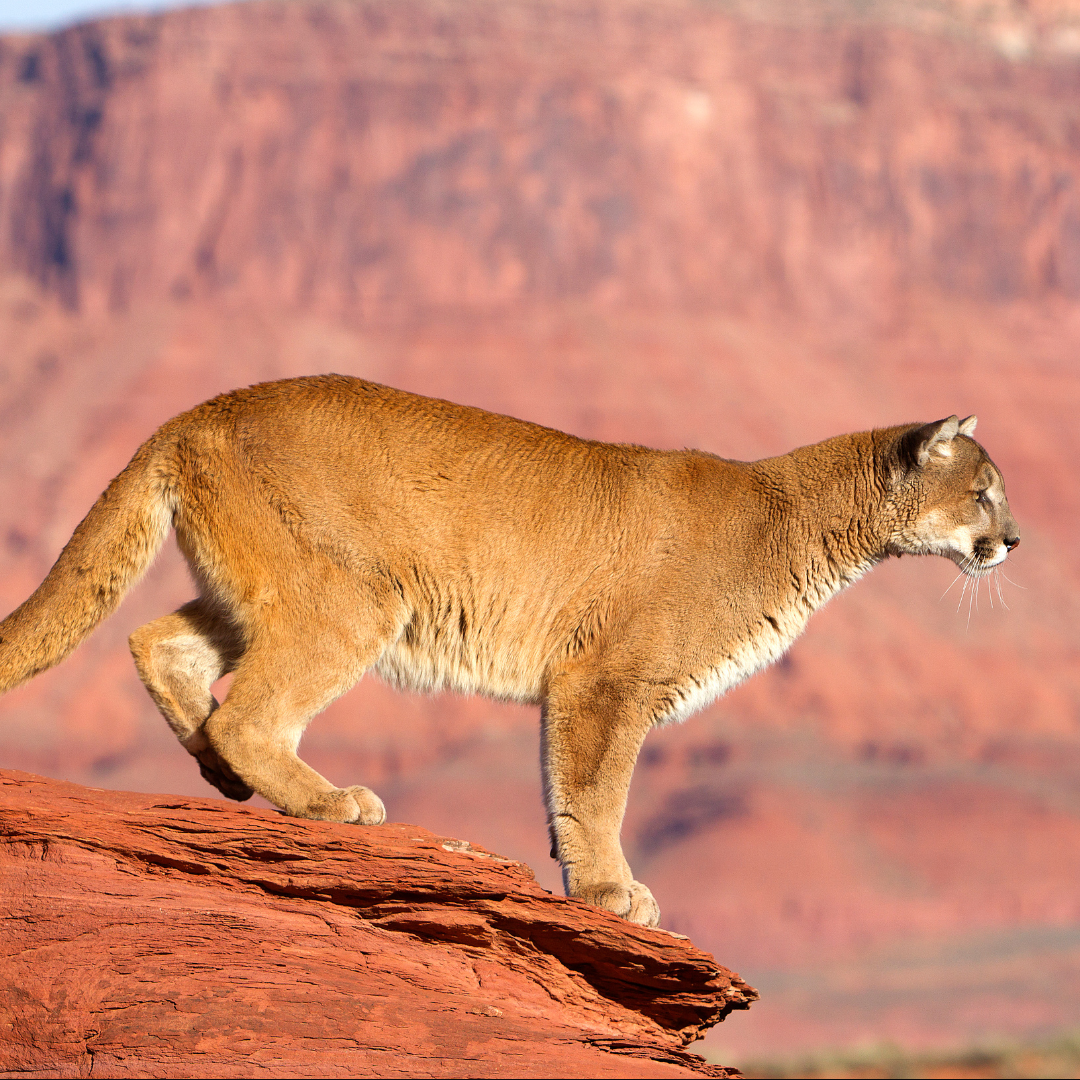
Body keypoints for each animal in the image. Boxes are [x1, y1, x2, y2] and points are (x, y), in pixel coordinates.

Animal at [0, 375, 1015, 924]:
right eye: (984, 492)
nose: (1015, 540)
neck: (800, 525)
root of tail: (201, 408)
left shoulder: (593, 682)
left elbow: (574, 787)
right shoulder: (605, 679)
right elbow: (595, 791)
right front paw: (611, 891)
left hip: (270, 589)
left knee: (156, 639)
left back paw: (219, 775)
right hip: (355, 600)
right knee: (247, 710)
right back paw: (329, 802)